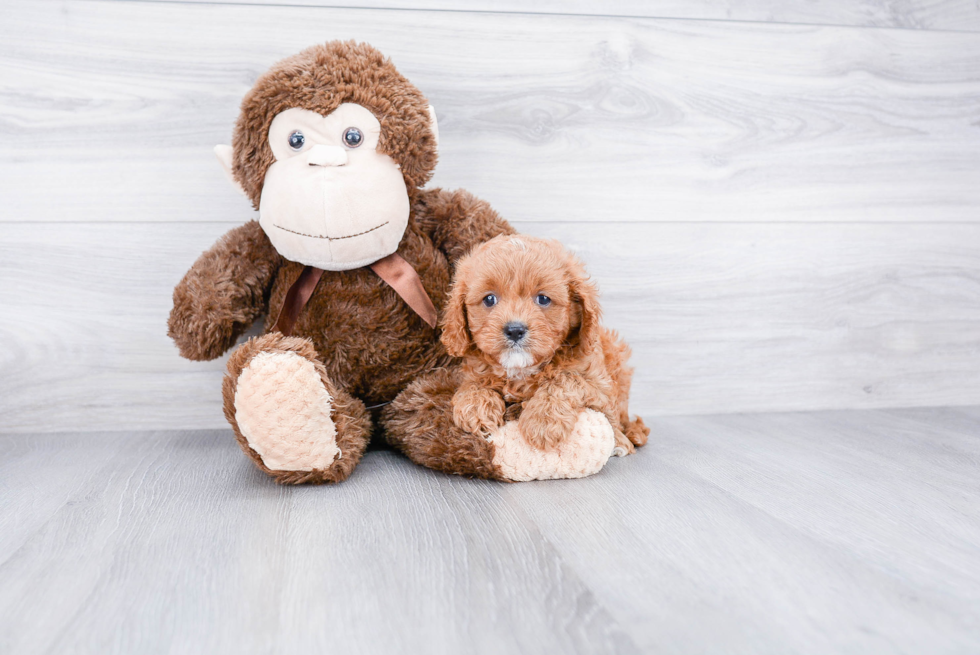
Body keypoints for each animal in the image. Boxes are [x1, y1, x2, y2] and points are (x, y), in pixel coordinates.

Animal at [440, 234, 648, 456]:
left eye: (543, 299)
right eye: (489, 299)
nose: (515, 330)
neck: (520, 370)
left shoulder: (601, 388)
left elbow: (566, 379)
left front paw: (543, 421)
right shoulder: (475, 371)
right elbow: (472, 384)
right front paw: (476, 406)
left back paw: (627, 438)